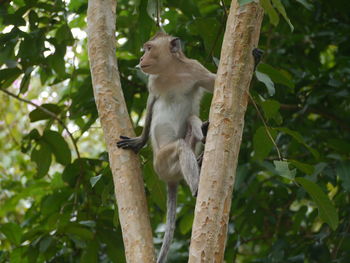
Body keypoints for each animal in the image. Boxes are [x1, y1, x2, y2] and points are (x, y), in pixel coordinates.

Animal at [117, 32, 216, 262]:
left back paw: (202, 142)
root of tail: (170, 179)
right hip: (162, 163)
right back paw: (197, 184)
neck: (172, 71)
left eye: (149, 48)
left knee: (190, 123)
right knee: (180, 147)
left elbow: (215, 82)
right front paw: (140, 140)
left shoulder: (195, 68)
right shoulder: (153, 82)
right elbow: (151, 103)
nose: (141, 58)